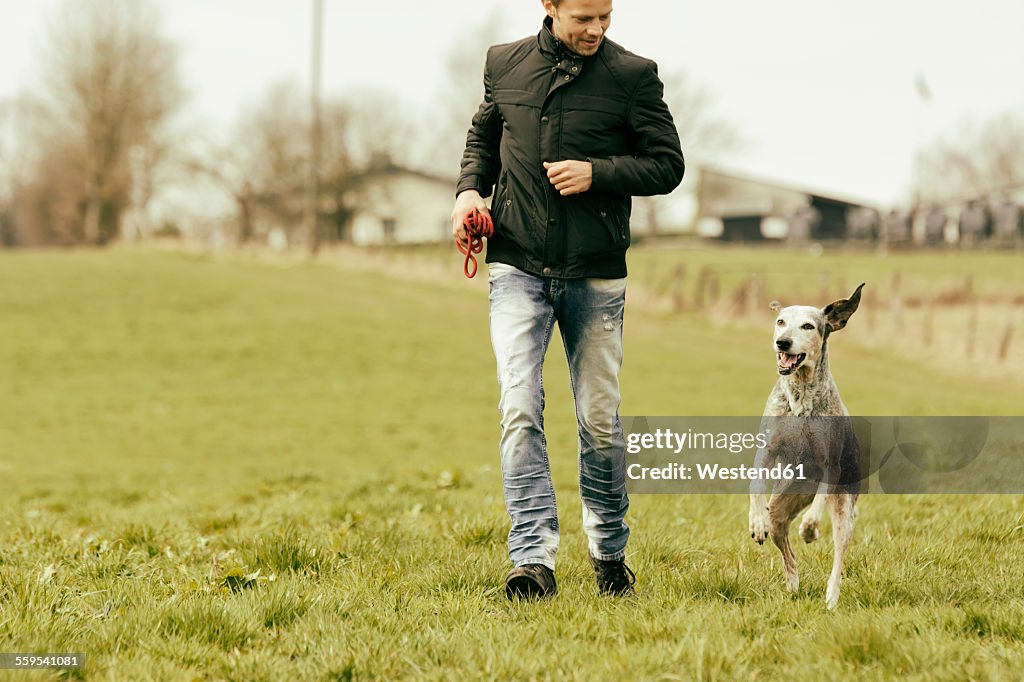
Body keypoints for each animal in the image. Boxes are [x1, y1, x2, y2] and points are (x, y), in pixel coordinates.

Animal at [745, 278, 864, 606]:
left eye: (808, 326)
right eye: (780, 321)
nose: (783, 342)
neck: (799, 396)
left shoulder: (829, 464)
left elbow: (821, 500)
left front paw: (810, 528)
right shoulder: (766, 451)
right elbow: (755, 484)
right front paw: (756, 521)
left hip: (845, 510)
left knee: (839, 556)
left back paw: (831, 598)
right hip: (781, 506)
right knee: (788, 552)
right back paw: (792, 586)